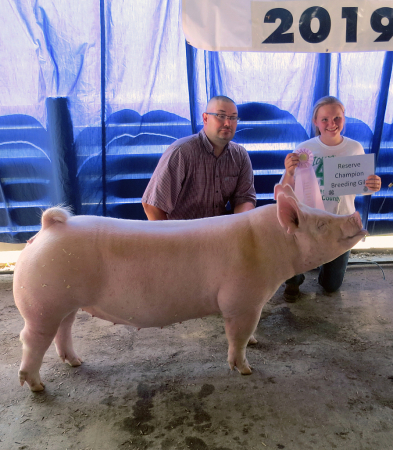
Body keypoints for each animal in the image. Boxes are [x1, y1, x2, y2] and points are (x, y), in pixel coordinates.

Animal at [13, 185, 368, 392]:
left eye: (321, 212)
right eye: (321, 224)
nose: (356, 214)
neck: (271, 248)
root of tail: (48, 228)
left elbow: (249, 333)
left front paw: (256, 342)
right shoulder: (241, 300)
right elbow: (237, 336)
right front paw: (246, 370)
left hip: (65, 303)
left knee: (64, 330)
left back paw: (75, 362)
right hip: (43, 304)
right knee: (31, 339)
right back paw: (37, 387)